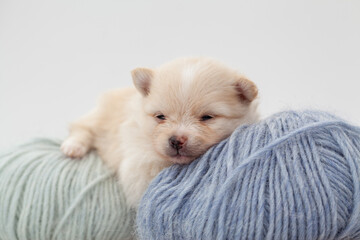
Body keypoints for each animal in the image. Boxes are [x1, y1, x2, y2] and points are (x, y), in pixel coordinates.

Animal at [61, 57, 258, 207]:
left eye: (207, 117)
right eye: (160, 116)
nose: (176, 140)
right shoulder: (138, 164)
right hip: (99, 117)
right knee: (81, 128)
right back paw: (73, 147)